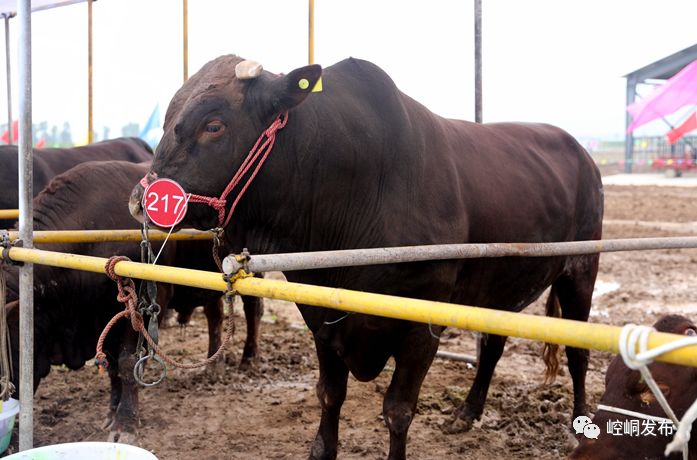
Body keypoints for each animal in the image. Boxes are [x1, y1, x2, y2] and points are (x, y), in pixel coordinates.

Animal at [2, 161, 262, 442]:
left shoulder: (145, 306)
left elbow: (127, 364)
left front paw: (125, 423)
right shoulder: (106, 318)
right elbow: (113, 367)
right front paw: (111, 413)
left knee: (253, 309)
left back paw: (249, 358)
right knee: (215, 316)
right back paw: (214, 364)